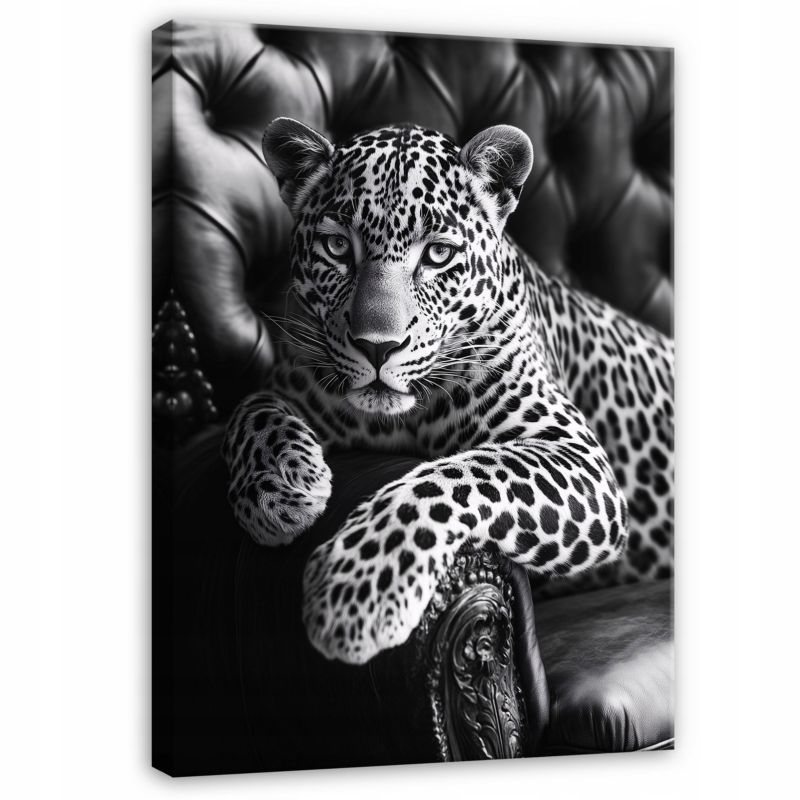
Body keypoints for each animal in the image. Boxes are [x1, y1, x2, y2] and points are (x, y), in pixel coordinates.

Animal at [222, 117, 674, 666]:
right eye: (337, 248)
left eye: (438, 254)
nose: (378, 347)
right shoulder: (291, 380)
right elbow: (250, 408)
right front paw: (281, 486)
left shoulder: (575, 454)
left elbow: (452, 478)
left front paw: (356, 592)